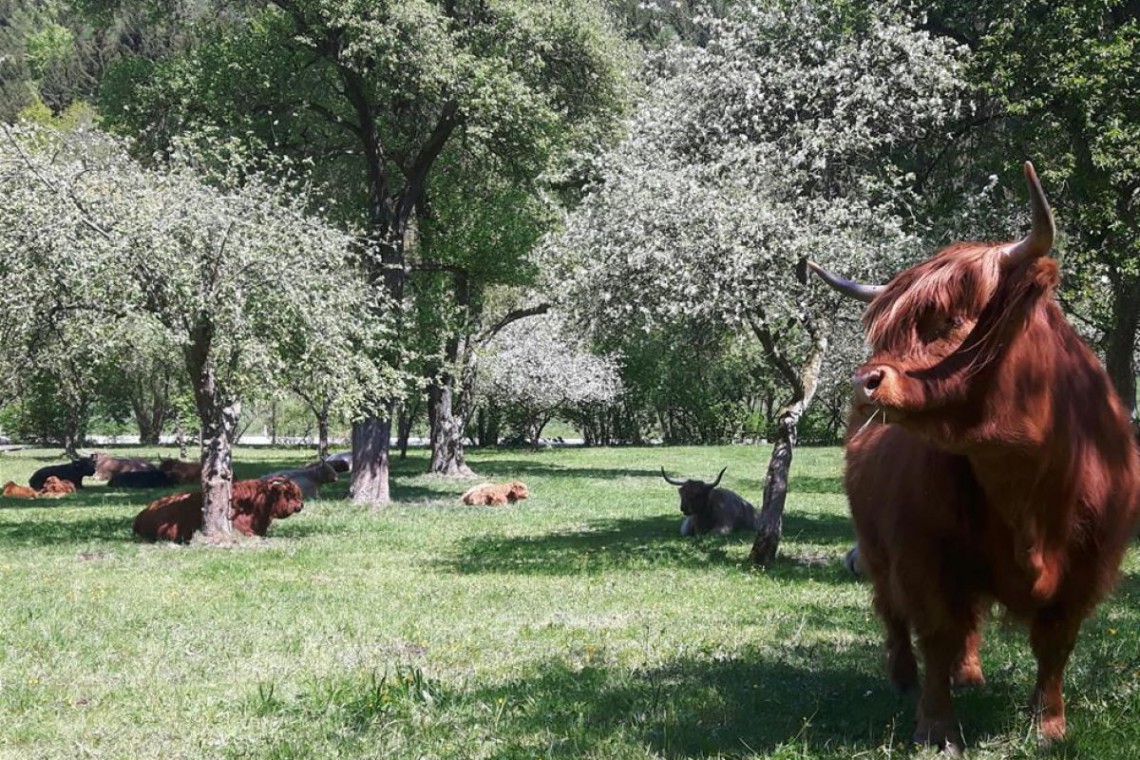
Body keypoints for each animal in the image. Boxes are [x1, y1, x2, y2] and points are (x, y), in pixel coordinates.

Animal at [811, 164, 1140, 752]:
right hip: (874, 545)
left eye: (947, 320)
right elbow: (937, 631)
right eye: (886, 330)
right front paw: (935, 725)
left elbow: (1055, 644)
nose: (863, 382)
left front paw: (1048, 724)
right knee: (893, 611)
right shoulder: (922, 554)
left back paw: (970, 675)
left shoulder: (1088, 565)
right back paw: (904, 678)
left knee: (971, 623)